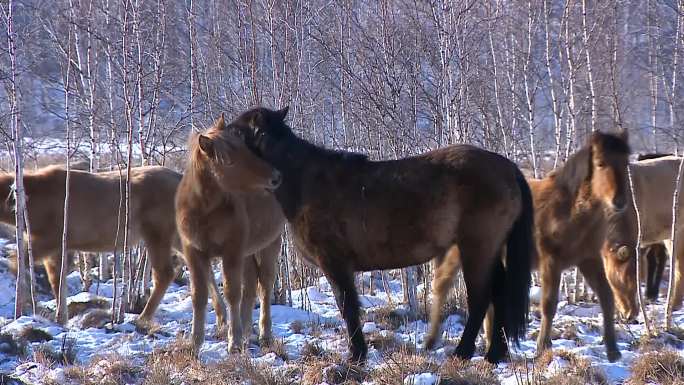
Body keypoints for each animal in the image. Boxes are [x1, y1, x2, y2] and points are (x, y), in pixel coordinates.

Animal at [176, 112, 286, 352]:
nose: (275, 177)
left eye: (246, 149)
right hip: (247, 253)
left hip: (270, 245)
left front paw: (233, 343)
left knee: (264, 286)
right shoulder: (194, 252)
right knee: (251, 286)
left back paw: (263, 334)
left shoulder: (231, 251)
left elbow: (232, 293)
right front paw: (195, 344)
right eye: (230, 161)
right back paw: (246, 332)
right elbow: (199, 296)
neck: (204, 210)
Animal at [230, 106, 536, 364]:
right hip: (488, 249)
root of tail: (507, 168)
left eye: (235, 132)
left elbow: (347, 306)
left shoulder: (335, 263)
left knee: (481, 297)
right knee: (499, 293)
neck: (306, 183)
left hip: (477, 248)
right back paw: (494, 355)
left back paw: (462, 353)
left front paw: (357, 355)